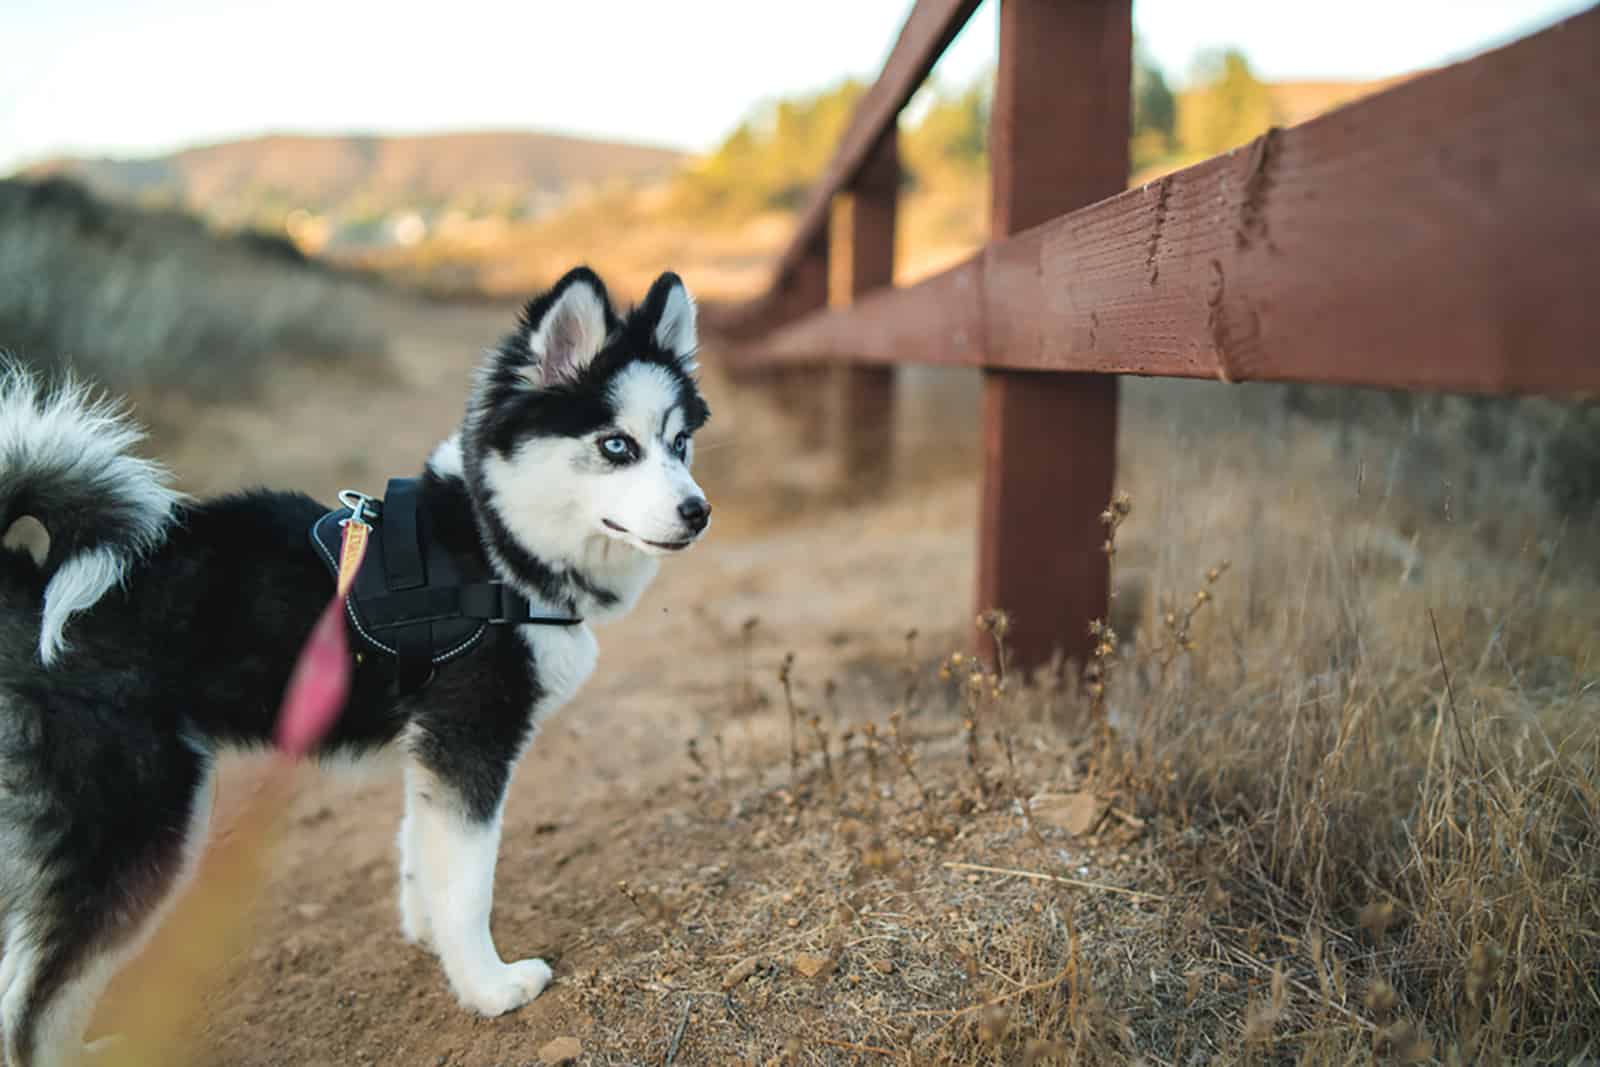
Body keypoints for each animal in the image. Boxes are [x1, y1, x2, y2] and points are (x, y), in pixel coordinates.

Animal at [0, 268, 713, 1067]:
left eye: (680, 443)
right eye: (616, 445)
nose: (698, 511)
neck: (493, 544)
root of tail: (34, 583)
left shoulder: (432, 746)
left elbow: (422, 851)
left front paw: (432, 938)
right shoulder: (470, 740)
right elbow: (470, 882)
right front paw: (490, 986)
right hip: (137, 821)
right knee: (33, 997)